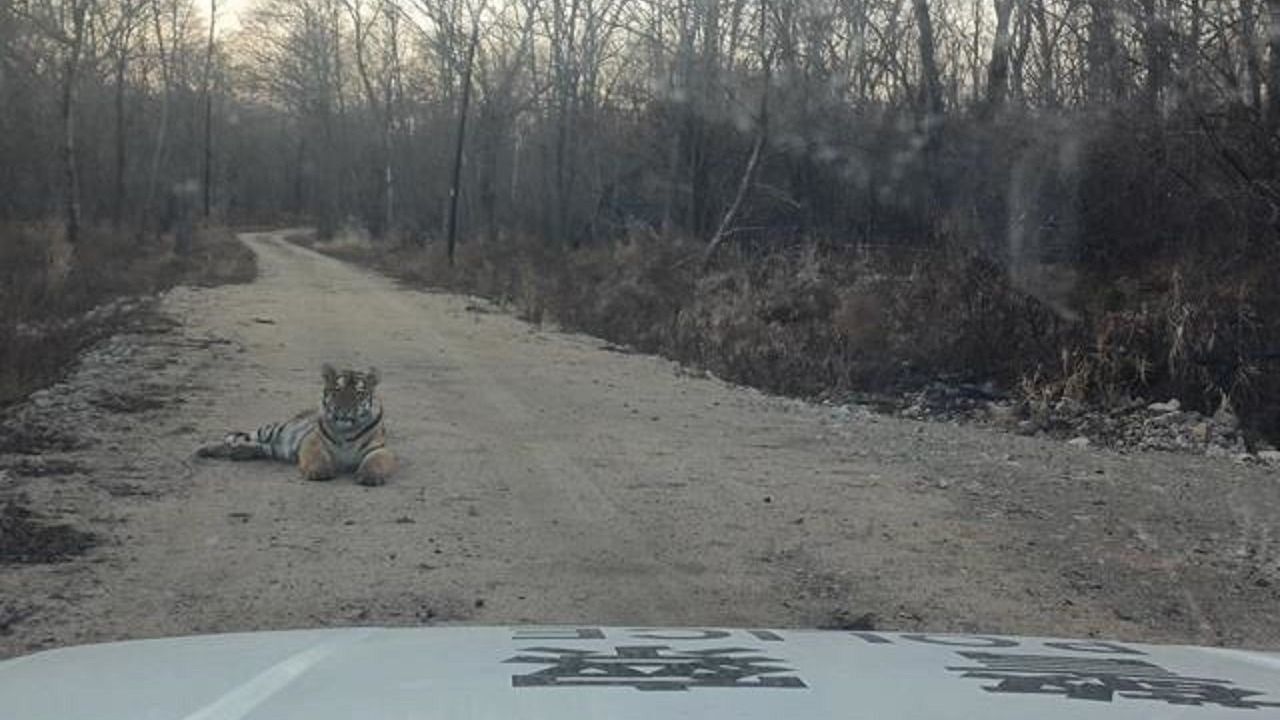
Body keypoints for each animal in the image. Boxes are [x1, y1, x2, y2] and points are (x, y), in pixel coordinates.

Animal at [193, 361, 394, 484]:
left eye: (359, 393)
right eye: (338, 390)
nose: (344, 409)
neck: (347, 431)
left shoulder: (378, 448)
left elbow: (375, 461)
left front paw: (370, 476)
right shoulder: (313, 441)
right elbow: (317, 456)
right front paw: (319, 472)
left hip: (271, 449)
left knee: (258, 447)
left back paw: (239, 452)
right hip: (271, 430)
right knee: (236, 438)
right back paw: (205, 449)